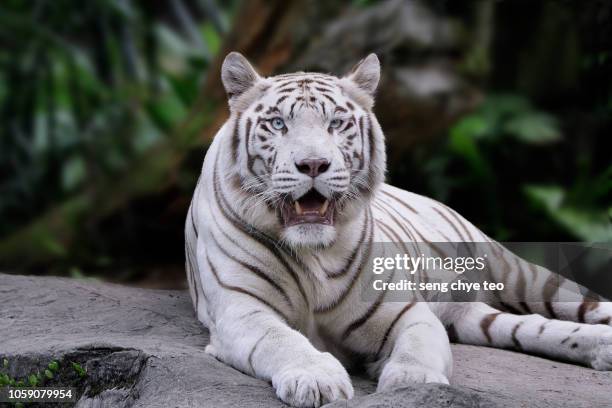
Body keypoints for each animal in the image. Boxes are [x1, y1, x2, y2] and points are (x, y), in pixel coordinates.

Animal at [185, 52, 612, 406]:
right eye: (278, 124)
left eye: (336, 124)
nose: (313, 164)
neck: (315, 253)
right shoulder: (242, 310)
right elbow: (283, 341)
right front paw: (318, 381)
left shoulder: (404, 310)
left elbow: (417, 347)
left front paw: (411, 383)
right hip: (474, 315)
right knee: (528, 328)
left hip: (518, 274)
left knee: (578, 304)